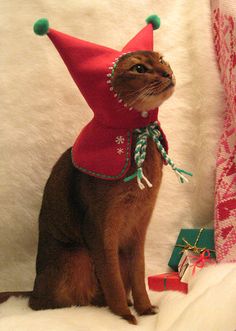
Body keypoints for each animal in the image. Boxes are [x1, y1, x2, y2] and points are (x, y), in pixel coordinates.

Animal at [0, 50, 174, 326]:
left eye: (163, 60)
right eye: (139, 68)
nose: (168, 73)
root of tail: (34, 288)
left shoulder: (138, 228)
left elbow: (138, 274)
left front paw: (145, 308)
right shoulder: (100, 228)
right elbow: (112, 279)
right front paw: (125, 317)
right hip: (78, 255)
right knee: (45, 304)